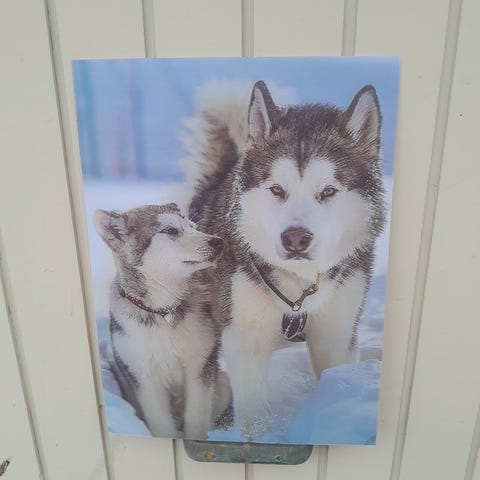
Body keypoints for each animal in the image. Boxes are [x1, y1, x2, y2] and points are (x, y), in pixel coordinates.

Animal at [93, 203, 227, 439]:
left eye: (193, 227)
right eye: (170, 230)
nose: (218, 241)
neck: (163, 312)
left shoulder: (199, 365)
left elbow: (196, 415)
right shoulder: (143, 375)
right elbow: (160, 420)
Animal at [183, 80, 385, 439]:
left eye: (328, 191)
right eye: (277, 189)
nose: (295, 239)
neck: (299, 287)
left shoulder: (336, 334)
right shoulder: (242, 335)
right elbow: (252, 413)